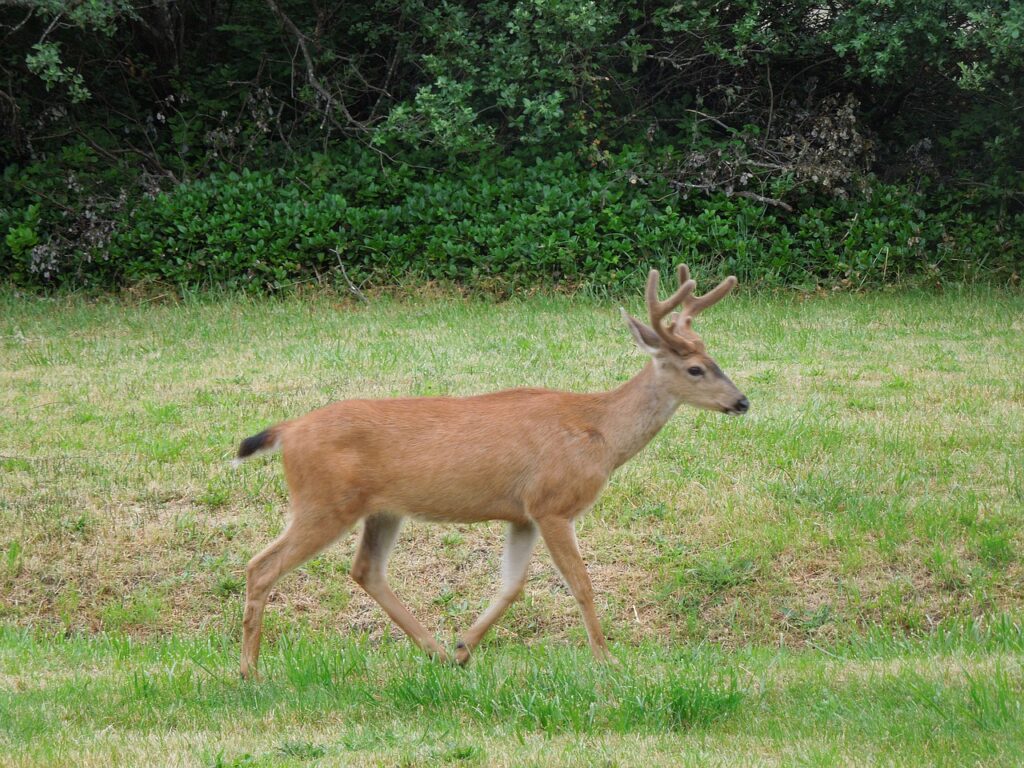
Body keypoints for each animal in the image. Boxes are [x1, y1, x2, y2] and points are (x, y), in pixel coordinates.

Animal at [235, 266, 749, 679]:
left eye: (716, 361)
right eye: (696, 369)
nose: (741, 401)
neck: (599, 434)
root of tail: (288, 430)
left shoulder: (522, 513)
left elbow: (512, 586)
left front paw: (465, 647)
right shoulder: (553, 502)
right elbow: (581, 585)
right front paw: (607, 660)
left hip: (381, 509)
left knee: (366, 570)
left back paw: (438, 653)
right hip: (324, 500)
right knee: (261, 566)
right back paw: (250, 672)